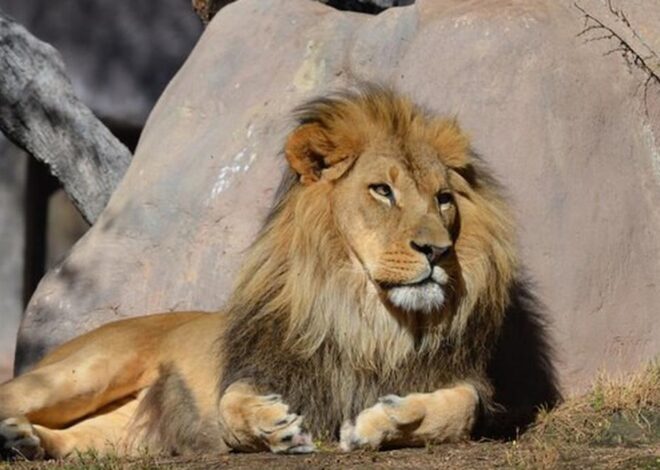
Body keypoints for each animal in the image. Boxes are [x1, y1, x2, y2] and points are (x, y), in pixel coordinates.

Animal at [2, 84, 524, 458]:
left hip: (119, 431)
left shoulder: (465, 380)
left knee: (76, 438)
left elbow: (459, 408)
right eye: (382, 190)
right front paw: (272, 427)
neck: (366, 319)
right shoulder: (261, 366)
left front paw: (381, 421)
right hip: (85, 371)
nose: (437, 250)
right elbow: (229, 403)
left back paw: (26, 442)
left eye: (443, 198)